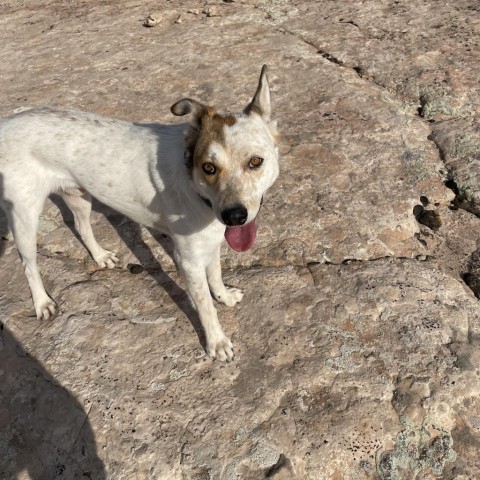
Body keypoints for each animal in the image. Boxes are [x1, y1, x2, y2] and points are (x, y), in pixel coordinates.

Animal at [0, 66, 278, 360]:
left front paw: (224, 296)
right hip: (25, 217)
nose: (234, 216)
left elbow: (215, 275)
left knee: (82, 226)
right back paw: (42, 302)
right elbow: (205, 306)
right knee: (28, 263)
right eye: (209, 167)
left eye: (255, 161)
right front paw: (216, 341)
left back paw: (100, 256)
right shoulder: (188, 260)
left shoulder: (211, 243)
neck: (193, 183)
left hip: (78, 196)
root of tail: (6, 123)